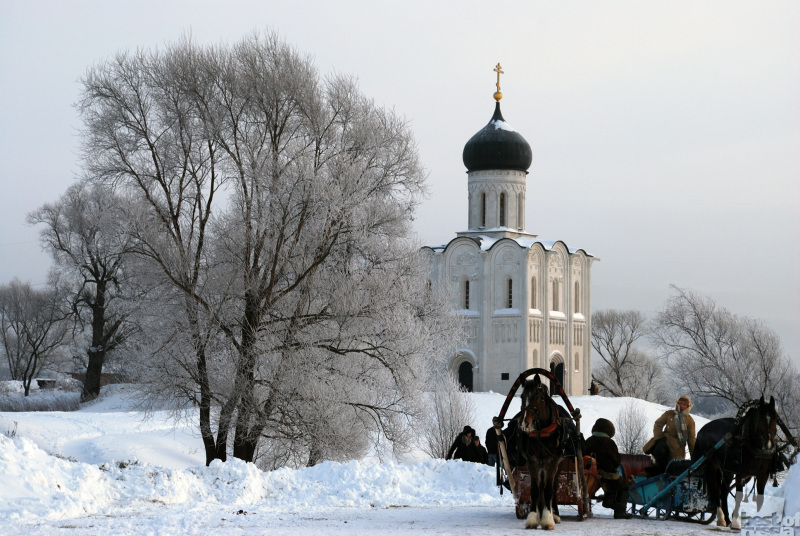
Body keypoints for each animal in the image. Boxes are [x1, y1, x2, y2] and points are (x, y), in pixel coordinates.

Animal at [520, 374, 564, 528]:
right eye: (522, 396)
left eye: (539, 398)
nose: (525, 423)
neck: (542, 434)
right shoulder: (533, 462)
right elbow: (535, 489)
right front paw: (533, 517)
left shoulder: (552, 462)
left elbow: (549, 490)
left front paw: (548, 518)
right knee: (540, 489)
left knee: (553, 487)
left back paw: (555, 513)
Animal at [692, 396, 780, 528]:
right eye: (760, 418)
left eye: (775, 417)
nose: (769, 444)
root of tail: (702, 430)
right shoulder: (740, 474)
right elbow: (738, 497)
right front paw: (734, 522)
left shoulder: (763, 474)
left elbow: (760, 499)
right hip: (712, 467)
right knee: (717, 491)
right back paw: (722, 518)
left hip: (725, 471)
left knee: (722, 491)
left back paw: (724, 518)